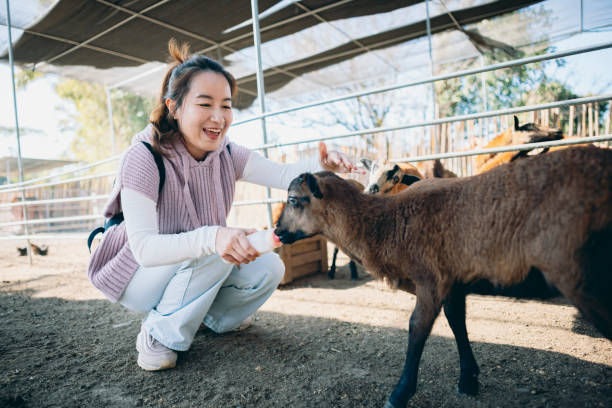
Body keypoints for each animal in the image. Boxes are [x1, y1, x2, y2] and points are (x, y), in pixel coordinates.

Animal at [278, 147, 612, 408]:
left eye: (294, 199)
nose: (278, 232)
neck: (384, 225)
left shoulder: (430, 279)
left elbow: (416, 329)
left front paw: (399, 395)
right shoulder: (452, 281)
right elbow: (457, 323)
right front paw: (468, 379)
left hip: (584, 279)